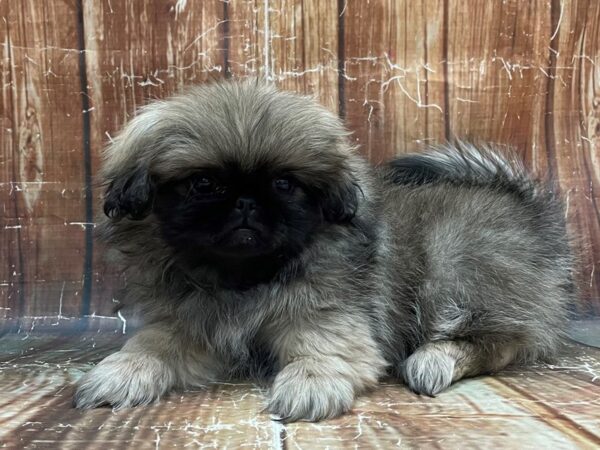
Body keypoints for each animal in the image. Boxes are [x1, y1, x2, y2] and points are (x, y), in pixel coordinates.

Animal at [72, 80, 576, 422]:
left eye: (284, 184)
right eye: (203, 184)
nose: (246, 202)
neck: (245, 279)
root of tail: (530, 211)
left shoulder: (328, 318)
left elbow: (321, 350)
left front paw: (309, 383)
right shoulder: (189, 326)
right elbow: (152, 345)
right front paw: (121, 371)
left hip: (455, 265)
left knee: (502, 343)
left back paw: (435, 358)